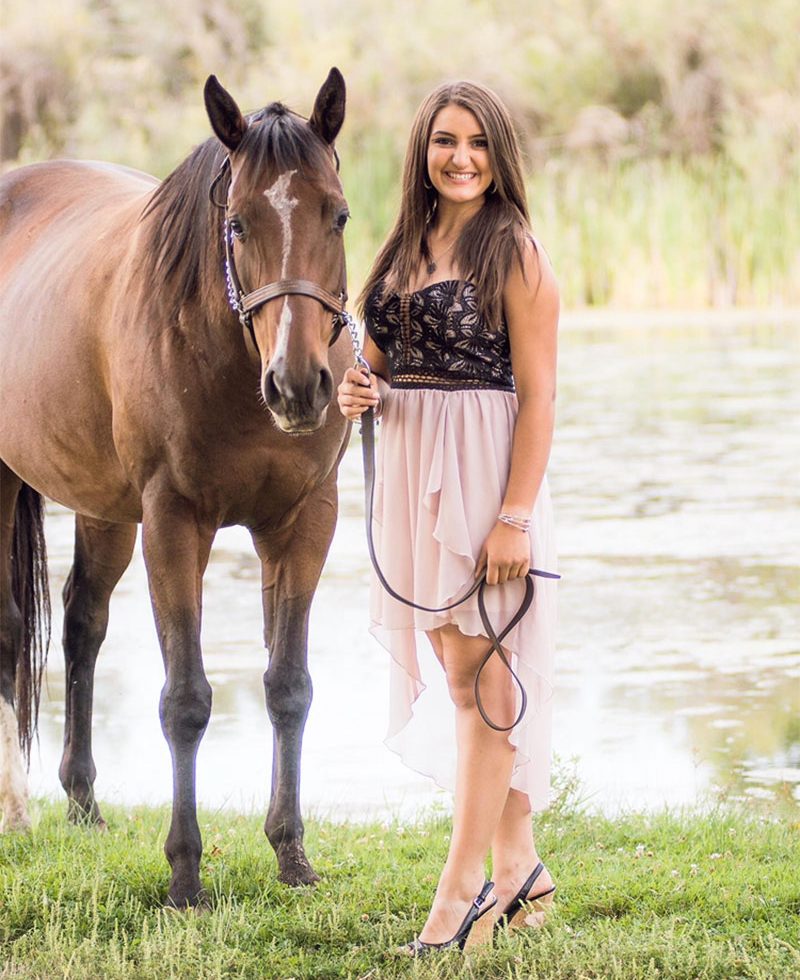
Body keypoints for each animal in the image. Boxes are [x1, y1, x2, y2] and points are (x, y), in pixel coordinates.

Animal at [0, 69, 352, 907]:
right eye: (238, 224)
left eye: (339, 215)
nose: (298, 386)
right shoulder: (173, 521)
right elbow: (186, 699)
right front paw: (186, 874)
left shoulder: (304, 520)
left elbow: (288, 686)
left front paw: (292, 855)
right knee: (8, 628)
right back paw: (17, 811)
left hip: (103, 510)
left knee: (82, 624)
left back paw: (83, 803)